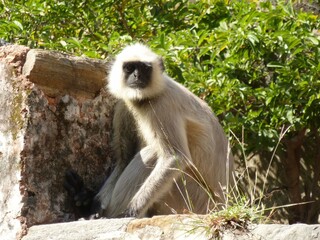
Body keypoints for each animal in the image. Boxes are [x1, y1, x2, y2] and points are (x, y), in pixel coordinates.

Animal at [92, 42, 232, 218]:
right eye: (130, 68)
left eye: (145, 69)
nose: (137, 76)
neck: (145, 99)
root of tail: (223, 205)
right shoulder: (124, 104)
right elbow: (124, 159)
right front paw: (96, 207)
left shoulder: (162, 106)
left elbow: (175, 157)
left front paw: (130, 211)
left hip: (193, 201)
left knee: (151, 153)